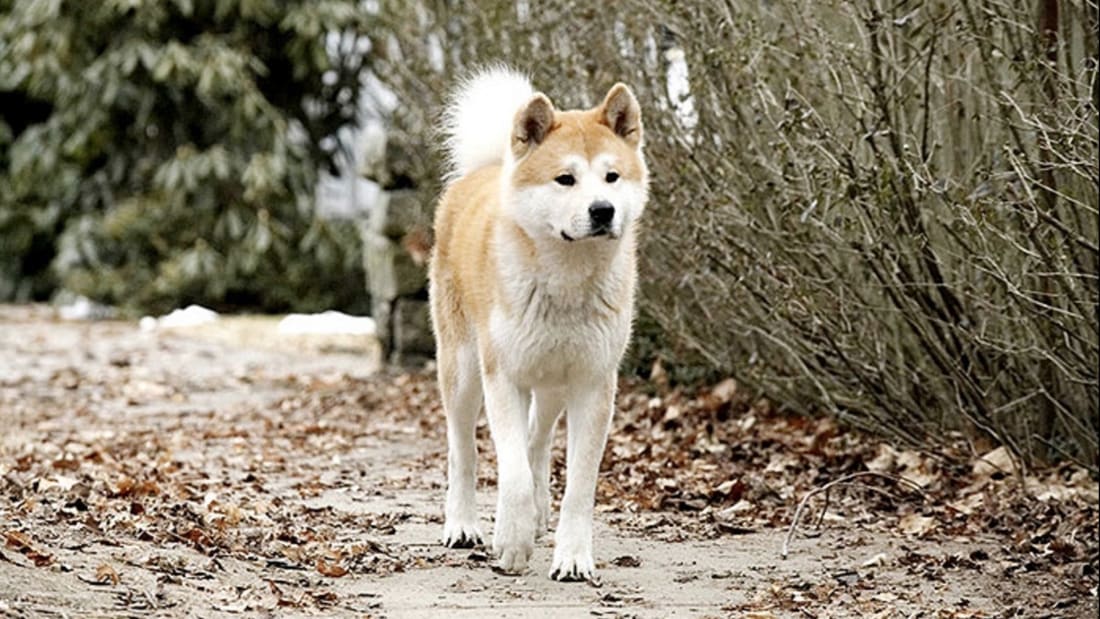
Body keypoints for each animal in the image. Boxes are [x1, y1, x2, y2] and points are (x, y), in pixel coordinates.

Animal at [426, 64, 646, 580]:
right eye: (565, 179)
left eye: (612, 176)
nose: (602, 210)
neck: (566, 280)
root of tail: (485, 171)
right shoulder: (502, 377)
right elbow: (511, 473)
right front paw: (511, 540)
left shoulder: (593, 384)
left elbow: (578, 485)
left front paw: (573, 556)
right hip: (463, 371)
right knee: (463, 450)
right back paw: (463, 524)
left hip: (551, 384)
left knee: (538, 440)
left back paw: (541, 515)